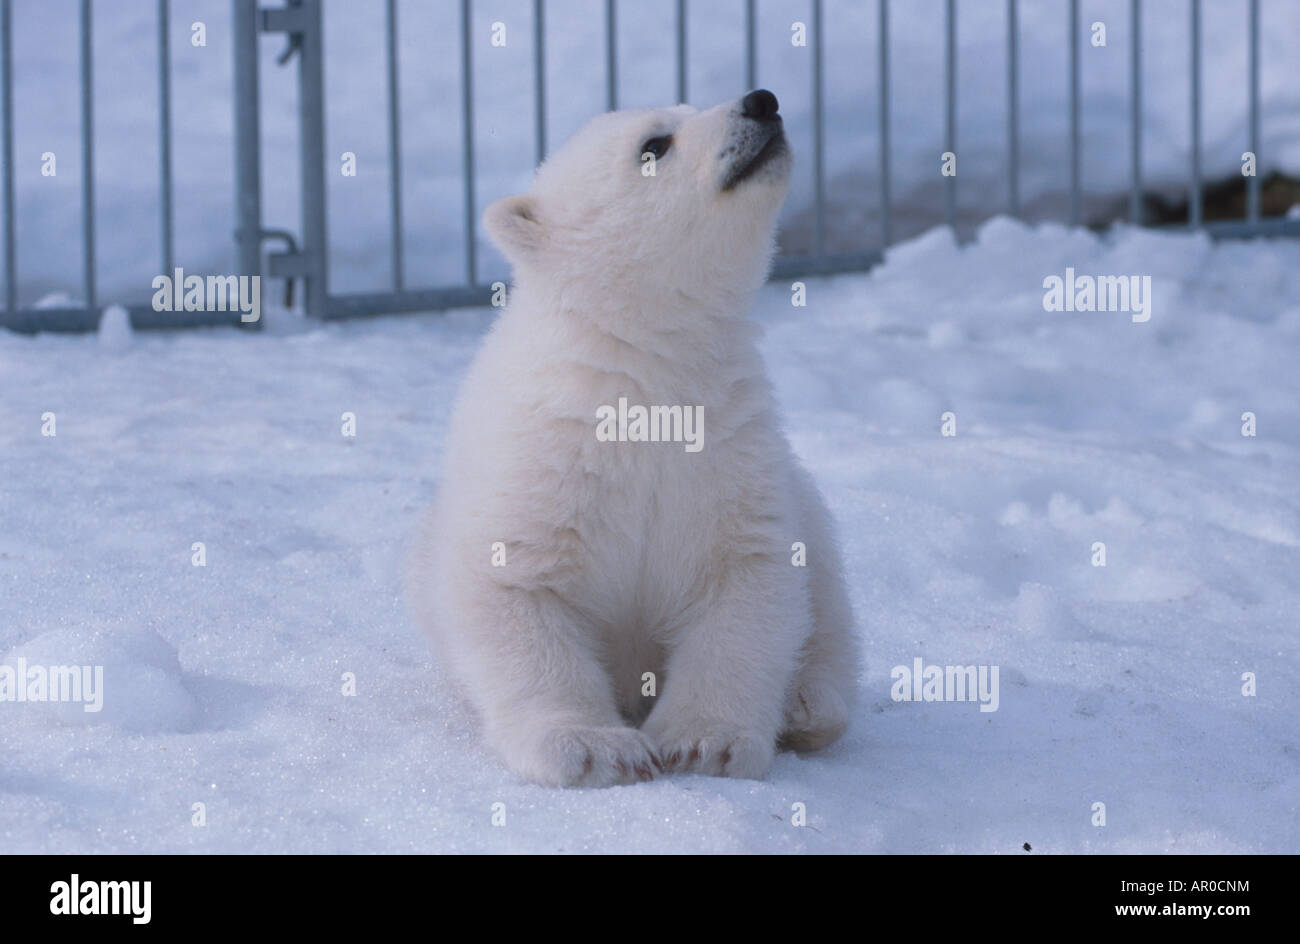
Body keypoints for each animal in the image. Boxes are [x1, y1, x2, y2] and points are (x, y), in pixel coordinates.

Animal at [406, 89, 859, 787]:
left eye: (689, 106)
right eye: (655, 144)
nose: (762, 101)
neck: (639, 371)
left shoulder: (729, 451)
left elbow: (746, 576)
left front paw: (704, 743)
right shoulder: (540, 463)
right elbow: (515, 589)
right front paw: (595, 749)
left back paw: (808, 704)